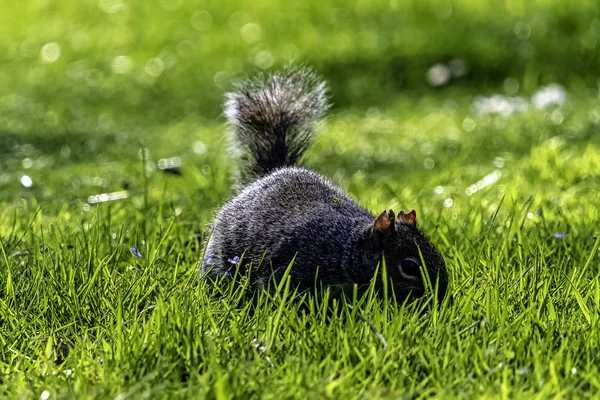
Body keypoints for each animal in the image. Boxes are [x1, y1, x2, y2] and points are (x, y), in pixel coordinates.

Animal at [202, 66, 446, 304]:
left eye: (437, 253)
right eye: (410, 266)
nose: (442, 295)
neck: (346, 252)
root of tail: (270, 174)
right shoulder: (292, 269)